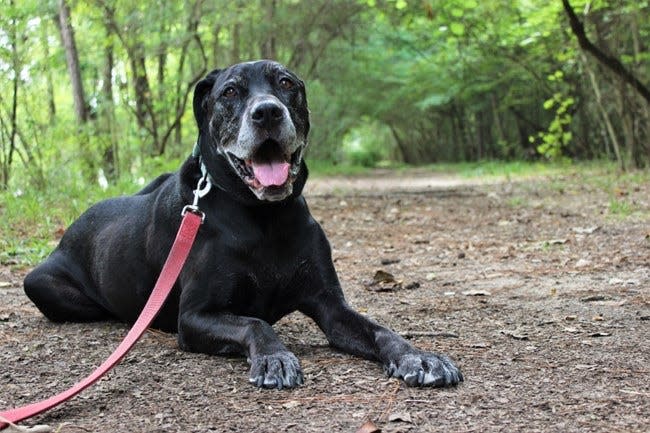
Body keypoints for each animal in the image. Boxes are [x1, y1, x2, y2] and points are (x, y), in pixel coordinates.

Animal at [24, 60, 460, 388]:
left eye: (286, 84)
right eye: (230, 92)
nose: (267, 111)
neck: (262, 216)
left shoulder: (331, 305)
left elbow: (379, 329)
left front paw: (418, 357)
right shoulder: (195, 316)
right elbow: (254, 322)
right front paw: (274, 357)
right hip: (42, 284)